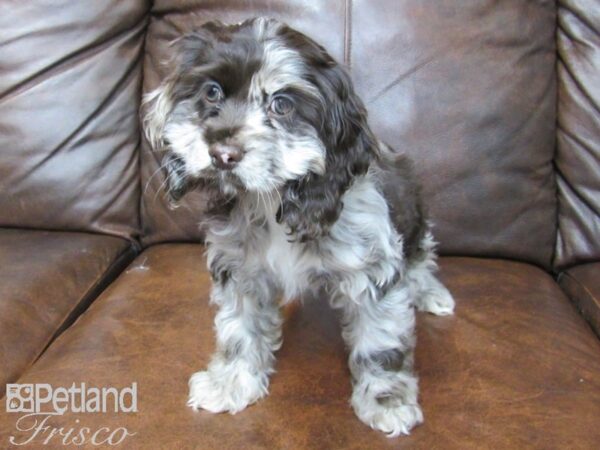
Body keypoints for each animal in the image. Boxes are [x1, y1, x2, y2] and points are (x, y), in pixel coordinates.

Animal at [143, 16, 452, 436]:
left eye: (282, 104)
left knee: (421, 255)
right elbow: (239, 330)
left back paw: (432, 293)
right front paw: (231, 383)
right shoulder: (240, 271)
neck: (274, 201)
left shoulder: (373, 272)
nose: (222, 155)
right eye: (211, 92)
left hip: (414, 216)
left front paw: (386, 400)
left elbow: (380, 340)